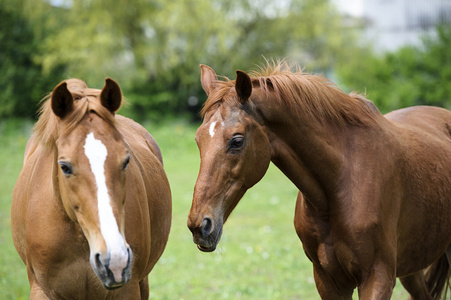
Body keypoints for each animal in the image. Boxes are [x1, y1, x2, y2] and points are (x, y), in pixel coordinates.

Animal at [187, 62, 451, 298]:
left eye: (237, 140)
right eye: (198, 139)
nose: (199, 225)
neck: (340, 183)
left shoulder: (378, 277)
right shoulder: (328, 280)